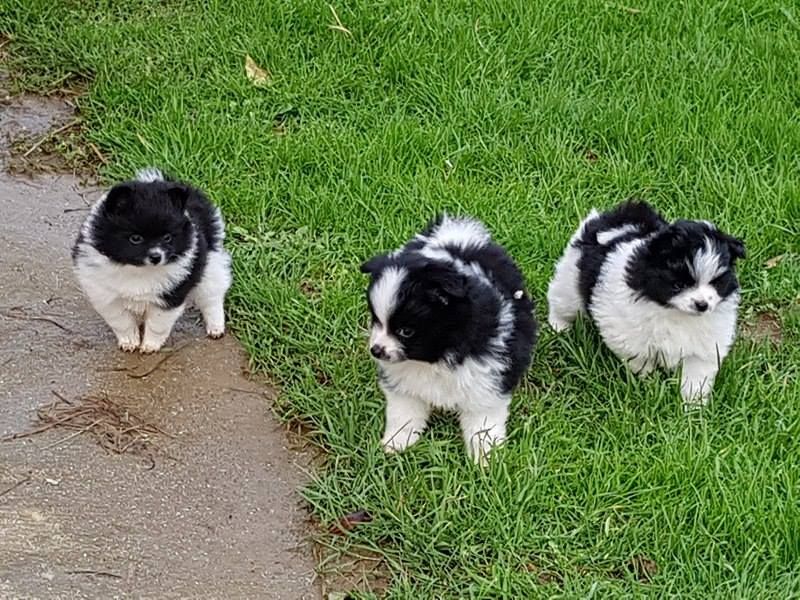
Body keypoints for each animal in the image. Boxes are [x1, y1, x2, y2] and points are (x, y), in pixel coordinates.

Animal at [72, 166, 231, 354]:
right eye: (135, 238)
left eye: (167, 238)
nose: (156, 256)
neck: (138, 270)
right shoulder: (105, 294)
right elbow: (121, 321)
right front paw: (129, 341)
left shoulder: (169, 296)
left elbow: (158, 323)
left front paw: (150, 345)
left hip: (210, 263)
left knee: (212, 296)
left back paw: (216, 327)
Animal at [360, 216, 536, 464]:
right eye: (375, 320)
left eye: (406, 331)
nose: (375, 350)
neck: (435, 357)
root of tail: (457, 237)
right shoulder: (403, 382)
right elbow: (404, 412)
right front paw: (396, 443)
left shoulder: (485, 380)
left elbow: (482, 423)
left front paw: (485, 459)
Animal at [548, 202, 748, 408]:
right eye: (679, 285)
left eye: (716, 283)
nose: (702, 305)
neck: (674, 312)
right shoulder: (631, 338)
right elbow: (642, 362)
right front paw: (650, 385)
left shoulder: (704, 347)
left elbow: (696, 375)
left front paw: (693, 405)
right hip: (570, 282)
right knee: (561, 301)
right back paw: (559, 326)